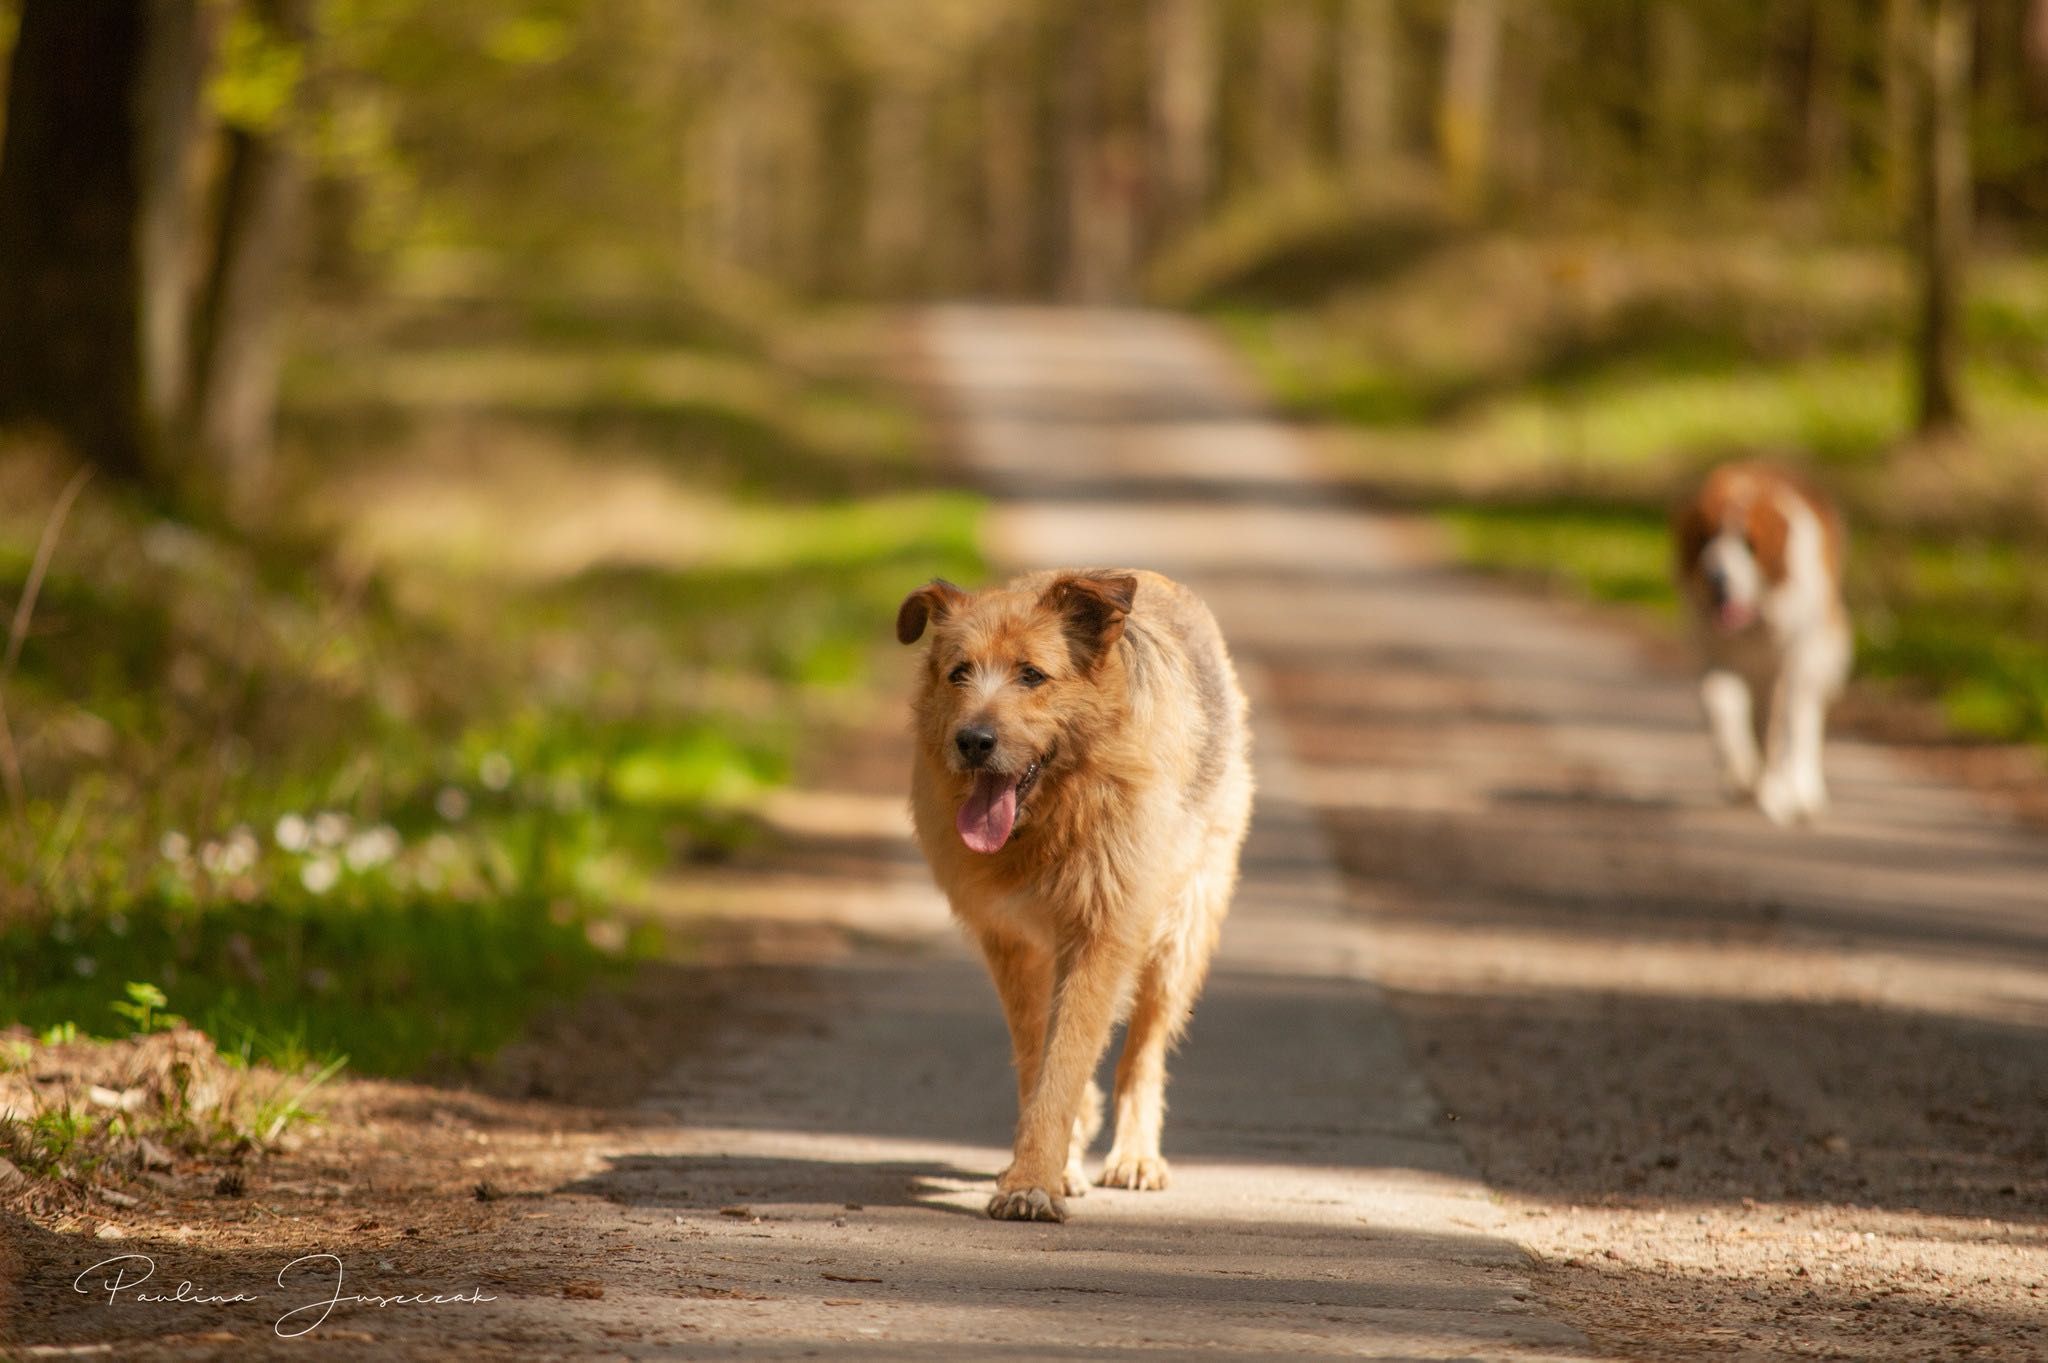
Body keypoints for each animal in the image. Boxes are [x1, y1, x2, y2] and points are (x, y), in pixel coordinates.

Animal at [901, 564, 1253, 1219]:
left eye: (1032, 675)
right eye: (959, 672)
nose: (973, 740)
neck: (1056, 811)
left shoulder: (1101, 934)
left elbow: (1066, 1059)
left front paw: (1033, 1180)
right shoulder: (1009, 939)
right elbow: (1037, 1053)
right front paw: (1052, 1165)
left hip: (1180, 938)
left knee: (1143, 1053)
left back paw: (1136, 1155)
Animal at [1679, 462, 1859, 822]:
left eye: (1749, 543)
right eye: (1707, 538)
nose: (1717, 578)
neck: (1753, 622)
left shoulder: (1791, 661)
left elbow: (1782, 728)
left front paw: (1778, 795)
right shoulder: (1714, 653)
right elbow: (1718, 704)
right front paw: (1740, 773)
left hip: (1811, 657)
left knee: (1802, 722)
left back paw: (1802, 791)